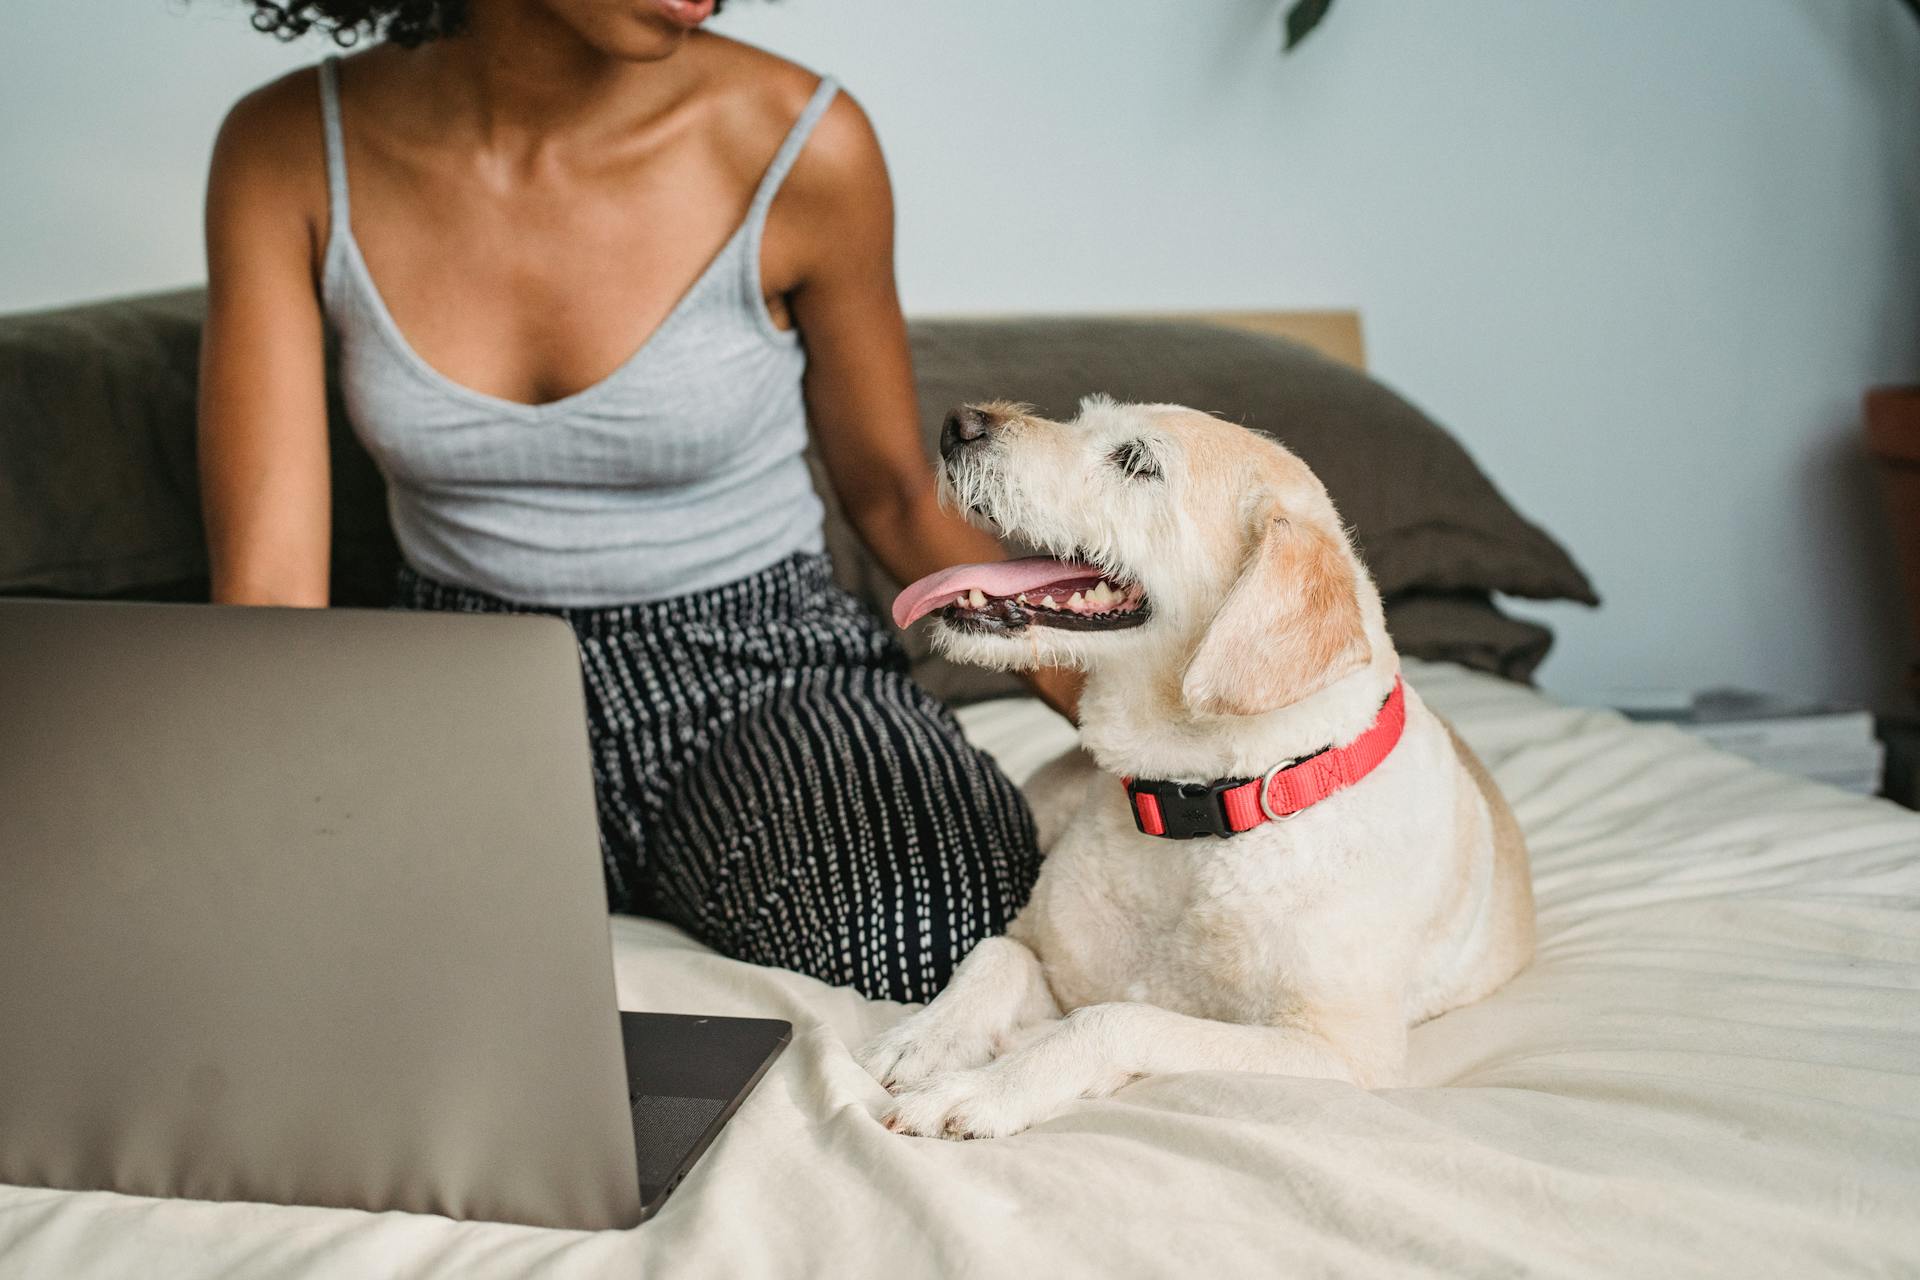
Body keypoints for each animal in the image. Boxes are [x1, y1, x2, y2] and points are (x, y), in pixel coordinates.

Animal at [856, 397, 1528, 1143]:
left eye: (1136, 462)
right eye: (1086, 419)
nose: (960, 424)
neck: (1203, 809)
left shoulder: (1339, 1054)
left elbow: (1116, 1020)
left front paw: (984, 1088)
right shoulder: (1045, 955)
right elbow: (995, 954)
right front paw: (924, 1036)